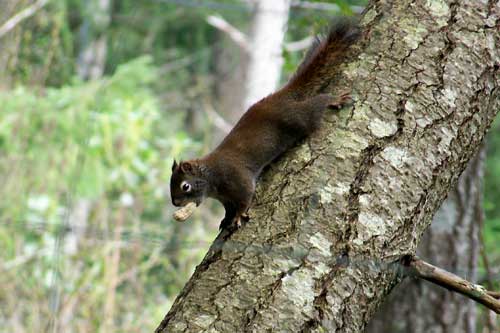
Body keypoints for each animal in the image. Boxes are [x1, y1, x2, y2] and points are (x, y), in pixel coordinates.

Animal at [172, 20, 360, 228]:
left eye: (185, 186)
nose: (175, 203)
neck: (212, 176)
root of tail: (279, 97)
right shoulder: (225, 198)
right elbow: (228, 208)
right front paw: (226, 219)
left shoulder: (237, 178)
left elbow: (245, 197)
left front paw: (238, 215)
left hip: (295, 117)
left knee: (314, 107)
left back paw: (332, 99)